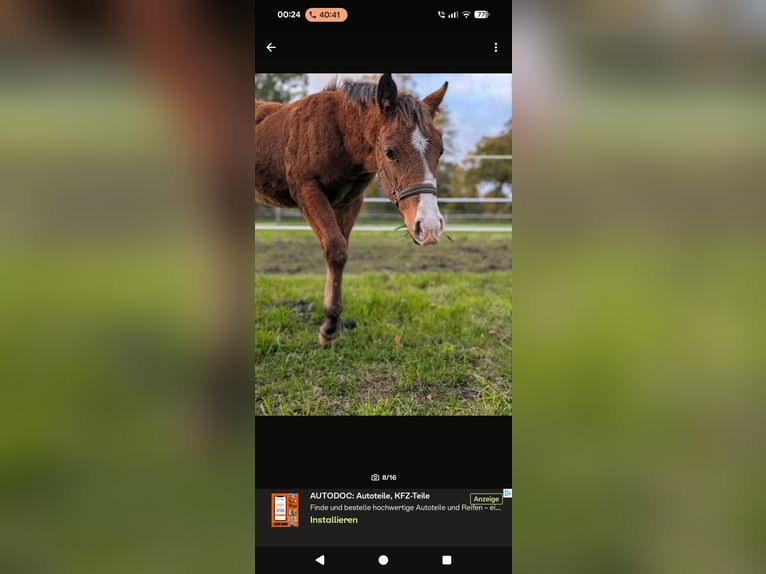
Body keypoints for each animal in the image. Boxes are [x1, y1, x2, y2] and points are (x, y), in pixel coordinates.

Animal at [255, 73, 449, 345]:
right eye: (389, 152)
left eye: (440, 150)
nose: (429, 227)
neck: (339, 133)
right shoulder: (308, 192)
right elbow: (335, 250)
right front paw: (328, 328)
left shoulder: (350, 202)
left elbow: (340, 253)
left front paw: (331, 324)